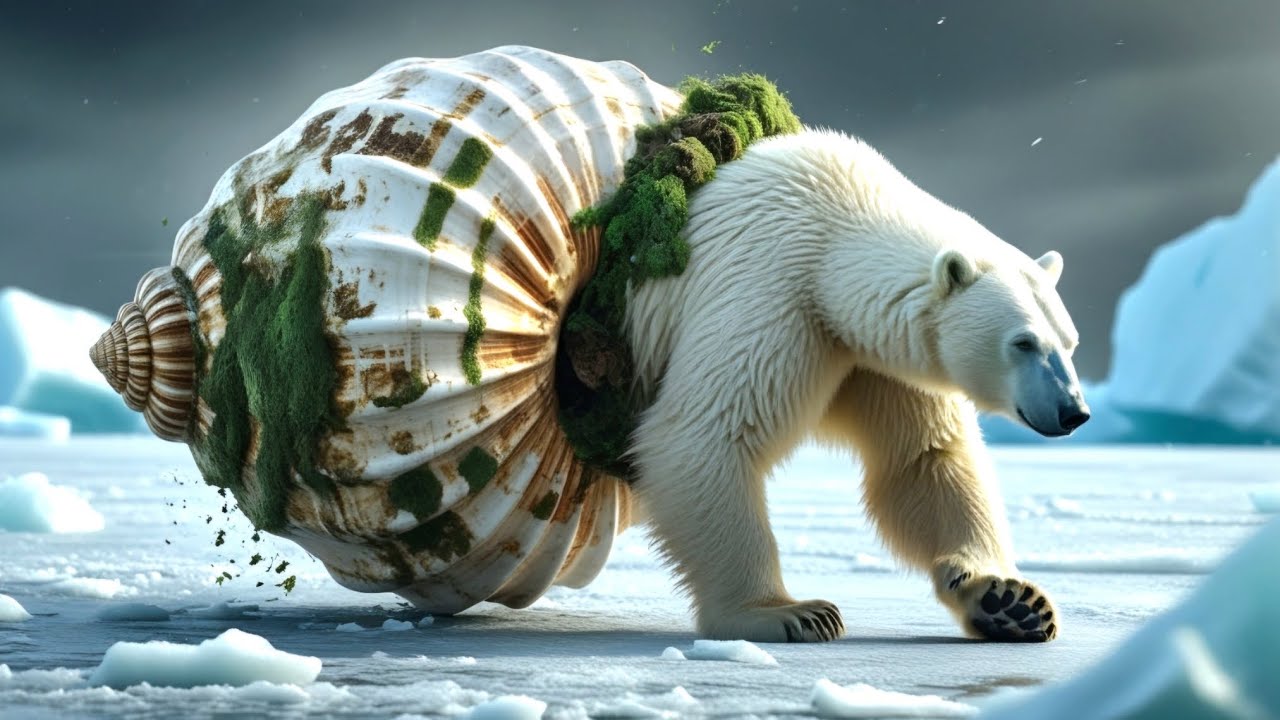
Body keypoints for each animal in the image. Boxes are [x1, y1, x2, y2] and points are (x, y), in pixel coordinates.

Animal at [623, 127, 1089, 643]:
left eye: (1071, 341)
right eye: (1023, 342)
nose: (1073, 411)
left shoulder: (874, 358)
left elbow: (923, 458)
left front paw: (1010, 601)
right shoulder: (767, 293)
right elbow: (707, 434)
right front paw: (786, 613)